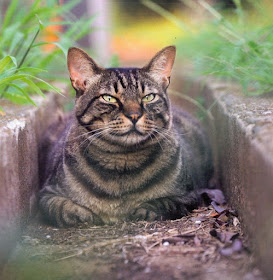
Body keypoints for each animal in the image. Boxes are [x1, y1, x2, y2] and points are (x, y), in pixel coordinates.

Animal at [38, 44, 212, 226]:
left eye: (149, 97)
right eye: (109, 98)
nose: (134, 115)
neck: (122, 162)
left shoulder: (189, 196)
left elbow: (163, 202)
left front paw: (143, 209)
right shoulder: (46, 194)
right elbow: (62, 207)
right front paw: (82, 213)